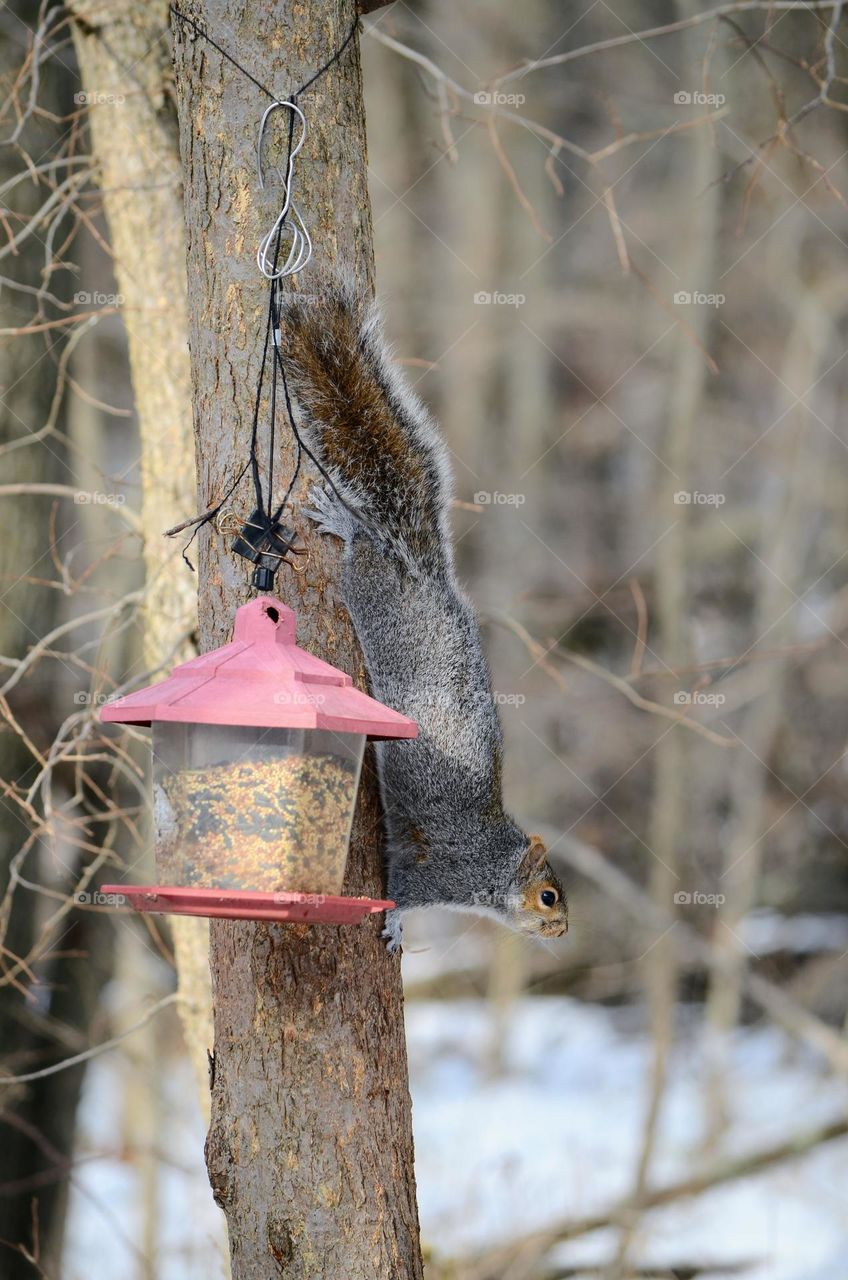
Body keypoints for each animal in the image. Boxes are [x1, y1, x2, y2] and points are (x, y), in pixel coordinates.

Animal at [277, 278, 568, 952]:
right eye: (548, 897)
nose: (565, 930)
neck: (492, 864)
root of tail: (424, 575)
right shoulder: (436, 868)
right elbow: (401, 891)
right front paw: (395, 926)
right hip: (371, 586)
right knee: (366, 547)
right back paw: (347, 522)